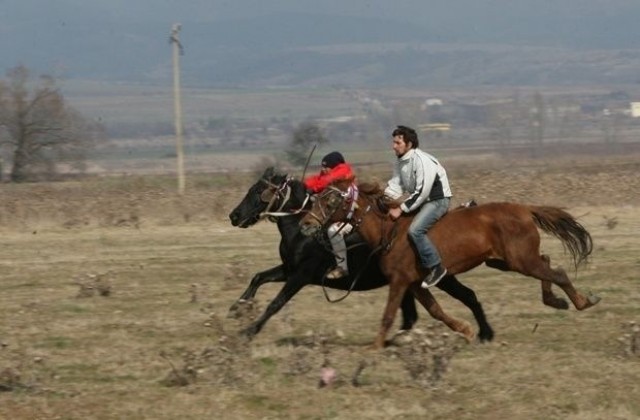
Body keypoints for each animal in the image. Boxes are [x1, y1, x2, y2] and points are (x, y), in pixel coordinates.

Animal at [230, 167, 496, 342]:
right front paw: (237, 307)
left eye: (260, 191)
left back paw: (485, 333)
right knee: (414, 315)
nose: (234, 216)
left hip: (440, 277)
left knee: (467, 296)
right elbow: (258, 277)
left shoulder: (301, 275)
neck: (300, 231)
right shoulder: (288, 269)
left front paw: (248, 331)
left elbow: (276, 303)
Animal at [300, 180, 600, 348]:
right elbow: (436, 311)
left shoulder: (400, 282)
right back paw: (556, 301)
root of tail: (524, 209)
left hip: (520, 261)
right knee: (548, 263)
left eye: (331, 199)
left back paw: (582, 301)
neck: (389, 230)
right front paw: (467, 330)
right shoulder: (414, 284)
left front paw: (374, 346)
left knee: (557, 272)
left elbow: (388, 315)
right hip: (504, 261)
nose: (305, 224)